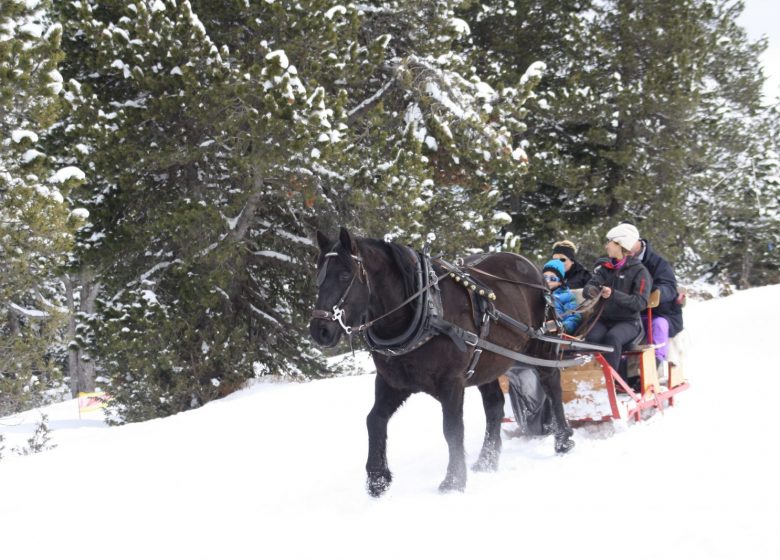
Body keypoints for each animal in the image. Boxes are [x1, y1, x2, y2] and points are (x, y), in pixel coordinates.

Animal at [310, 228, 572, 494]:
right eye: (318, 275)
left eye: (344, 274)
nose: (319, 331)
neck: (425, 310)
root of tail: (532, 268)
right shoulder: (392, 382)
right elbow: (374, 420)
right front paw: (377, 480)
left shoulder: (451, 383)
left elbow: (452, 430)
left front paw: (454, 481)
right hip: (486, 362)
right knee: (494, 405)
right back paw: (486, 461)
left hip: (541, 348)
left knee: (552, 386)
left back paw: (562, 441)